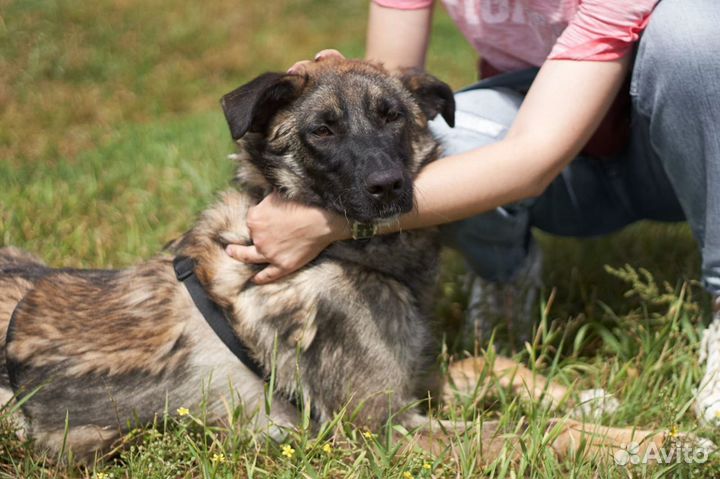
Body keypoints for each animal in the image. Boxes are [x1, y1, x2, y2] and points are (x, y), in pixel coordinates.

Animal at [0, 59, 704, 464]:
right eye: (322, 130)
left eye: (393, 117)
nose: (389, 187)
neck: (347, 256)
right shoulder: (384, 429)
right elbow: (530, 434)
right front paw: (654, 441)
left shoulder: (415, 377)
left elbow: (487, 364)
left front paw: (589, 396)